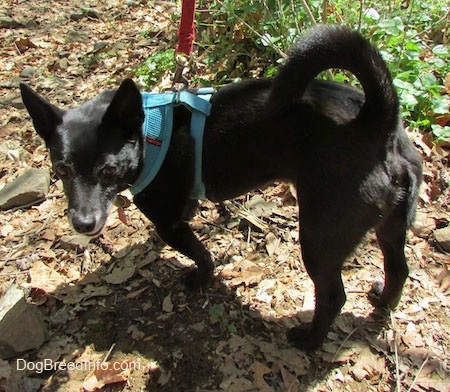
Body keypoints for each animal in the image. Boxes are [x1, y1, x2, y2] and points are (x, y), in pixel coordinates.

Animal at [20, 26, 422, 350]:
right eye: (61, 170)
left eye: (107, 170)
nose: (83, 223)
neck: (147, 133)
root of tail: (376, 122)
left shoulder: (169, 224)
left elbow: (201, 254)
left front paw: (201, 279)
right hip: (391, 224)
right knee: (399, 268)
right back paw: (383, 302)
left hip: (319, 237)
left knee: (333, 296)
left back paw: (309, 340)